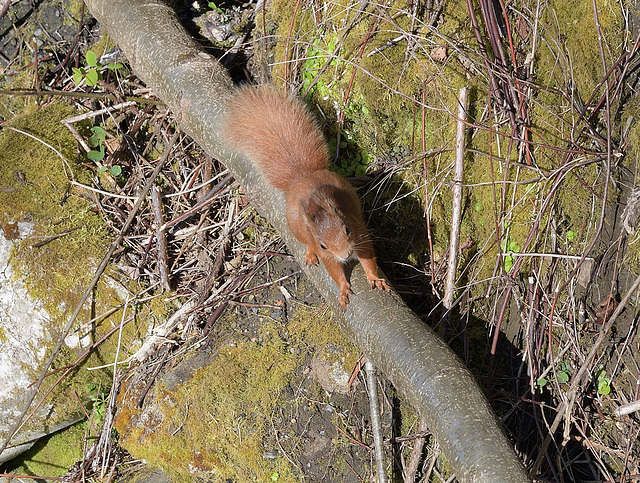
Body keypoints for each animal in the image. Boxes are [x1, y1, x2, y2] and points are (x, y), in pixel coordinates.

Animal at [222, 84, 388, 308]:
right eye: (323, 244)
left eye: (347, 229)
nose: (345, 254)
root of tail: (302, 177)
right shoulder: (327, 254)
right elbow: (334, 271)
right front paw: (343, 289)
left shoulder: (359, 231)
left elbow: (368, 258)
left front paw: (375, 278)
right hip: (296, 228)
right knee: (305, 241)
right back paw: (309, 253)